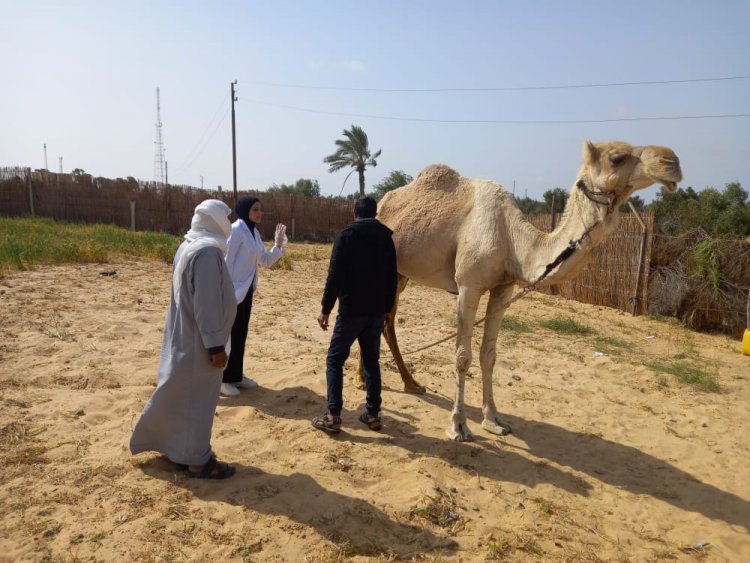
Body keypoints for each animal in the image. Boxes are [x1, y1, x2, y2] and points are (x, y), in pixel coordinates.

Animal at [374, 140, 684, 440]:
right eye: (617, 157)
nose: (672, 161)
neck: (513, 240)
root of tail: (382, 203)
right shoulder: (468, 285)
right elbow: (463, 356)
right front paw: (459, 426)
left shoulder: (503, 288)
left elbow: (489, 355)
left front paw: (493, 420)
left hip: (401, 273)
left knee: (386, 320)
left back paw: (410, 383)